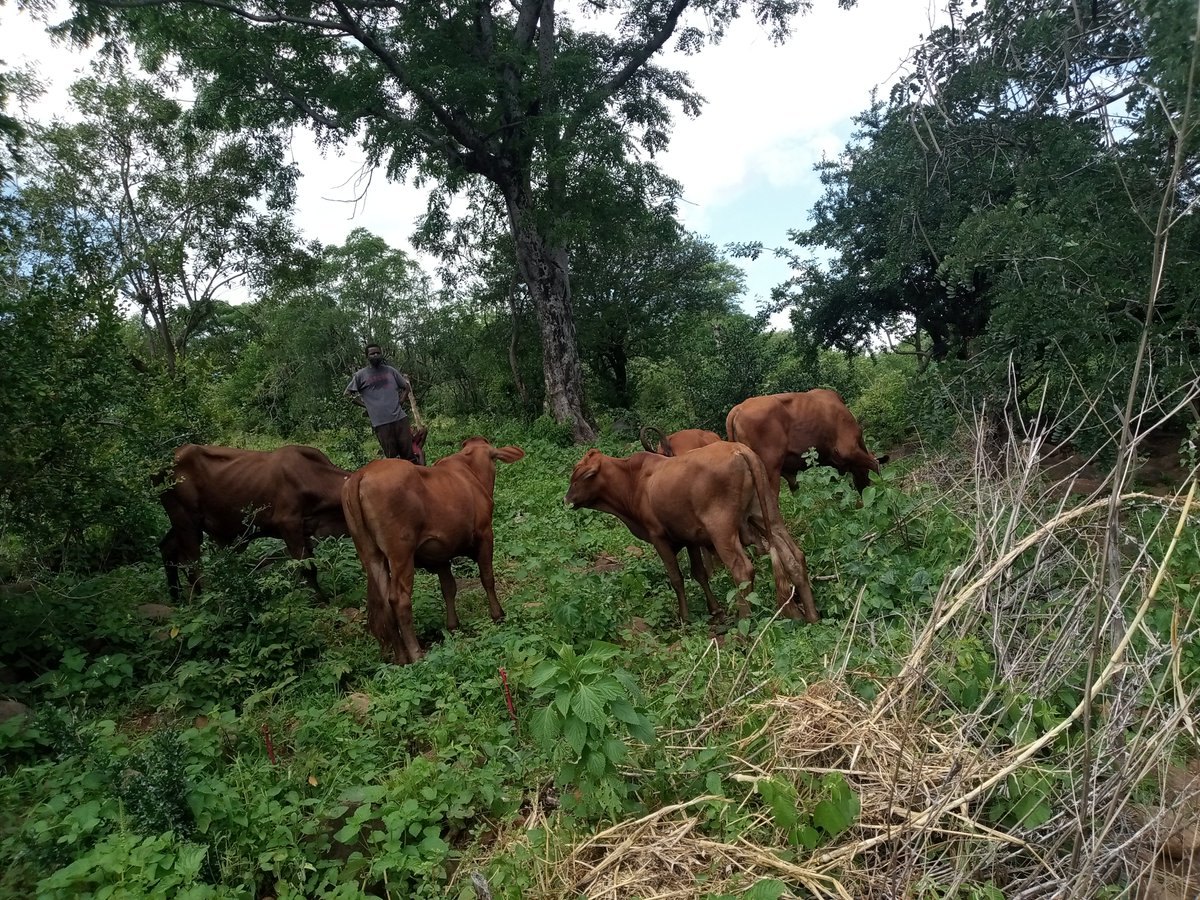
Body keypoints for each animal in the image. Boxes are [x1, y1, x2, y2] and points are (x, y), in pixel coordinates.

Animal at [156, 444, 352, 602]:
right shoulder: (289, 524)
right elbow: (307, 567)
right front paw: (321, 600)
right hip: (185, 520)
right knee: (192, 563)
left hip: (187, 525)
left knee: (167, 548)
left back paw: (177, 598)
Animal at [341, 437, 524, 664]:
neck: (470, 471)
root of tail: (362, 473)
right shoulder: (485, 534)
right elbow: (487, 577)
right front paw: (498, 614)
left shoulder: (440, 552)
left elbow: (449, 588)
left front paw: (453, 627)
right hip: (401, 553)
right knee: (399, 600)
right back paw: (416, 654)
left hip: (370, 554)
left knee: (384, 602)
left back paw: (401, 658)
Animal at [565, 442, 818, 624]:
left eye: (581, 476)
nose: (566, 500)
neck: (633, 481)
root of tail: (739, 449)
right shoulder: (690, 538)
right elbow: (700, 573)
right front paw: (715, 610)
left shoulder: (659, 538)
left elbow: (677, 578)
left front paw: (685, 618)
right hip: (766, 514)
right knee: (794, 557)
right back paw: (812, 615)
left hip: (722, 530)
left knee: (743, 571)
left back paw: (743, 626)